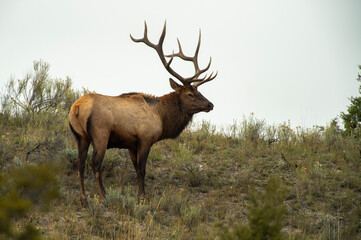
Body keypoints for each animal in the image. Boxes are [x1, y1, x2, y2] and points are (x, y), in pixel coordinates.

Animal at [69, 21, 218, 203]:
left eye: (198, 91)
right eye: (190, 94)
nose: (210, 104)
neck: (162, 116)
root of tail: (77, 108)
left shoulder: (131, 144)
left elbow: (135, 168)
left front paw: (140, 194)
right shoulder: (145, 138)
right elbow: (142, 169)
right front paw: (143, 196)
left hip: (79, 136)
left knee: (80, 162)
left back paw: (83, 198)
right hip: (100, 133)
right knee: (95, 163)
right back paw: (104, 196)